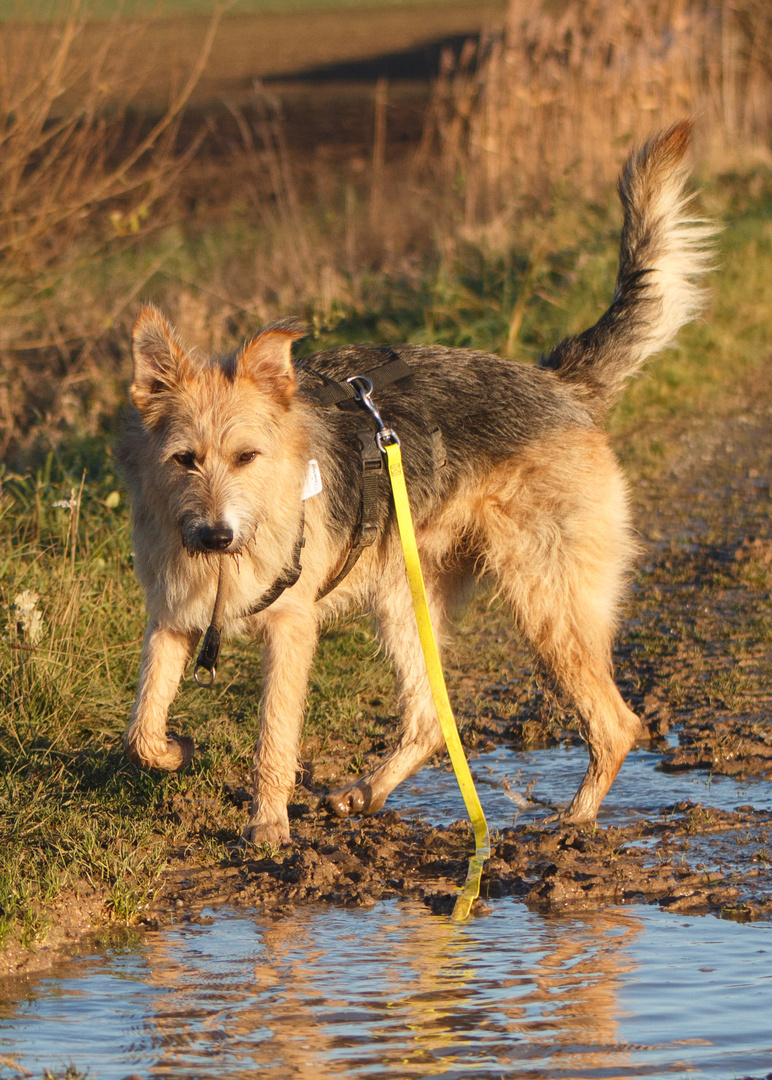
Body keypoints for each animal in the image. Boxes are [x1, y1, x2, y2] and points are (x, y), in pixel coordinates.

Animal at [119, 120, 712, 842]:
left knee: (618, 722)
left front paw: (268, 831)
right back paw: (367, 793)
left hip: (547, 605)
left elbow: (273, 741)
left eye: (246, 457)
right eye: (185, 459)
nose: (215, 535)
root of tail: (558, 381)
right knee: (431, 720)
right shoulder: (170, 620)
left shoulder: (291, 632)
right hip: (407, 599)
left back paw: (571, 821)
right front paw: (176, 751)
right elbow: (142, 730)